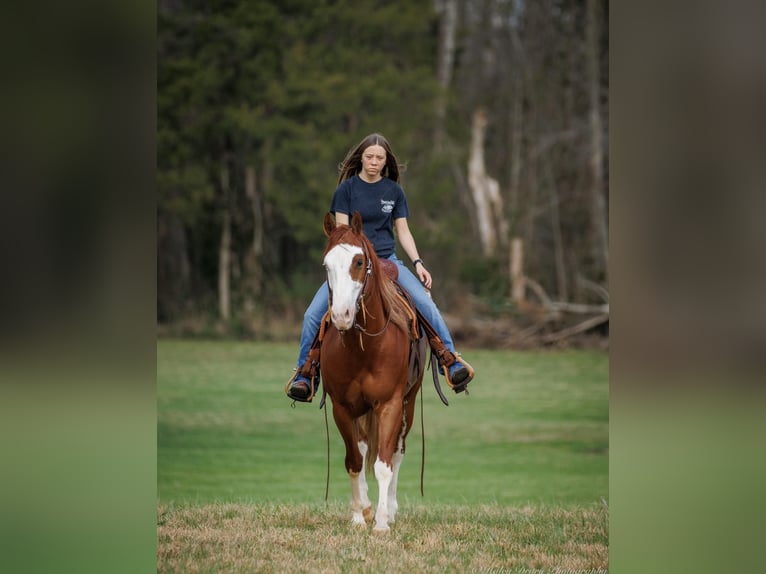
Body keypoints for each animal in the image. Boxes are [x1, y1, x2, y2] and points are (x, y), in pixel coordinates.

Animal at [318, 212, 426, 536]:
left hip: (408, 404)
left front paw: (380, 522)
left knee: (397, 452)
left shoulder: (390, 404)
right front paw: (358, 515)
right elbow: (355, 460)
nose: (341, 316)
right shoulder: (342, 406)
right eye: (326, 265)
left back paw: (389, 510)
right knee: (365, 447)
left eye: (357, 261)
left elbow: (383, 464)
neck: (364, 348)